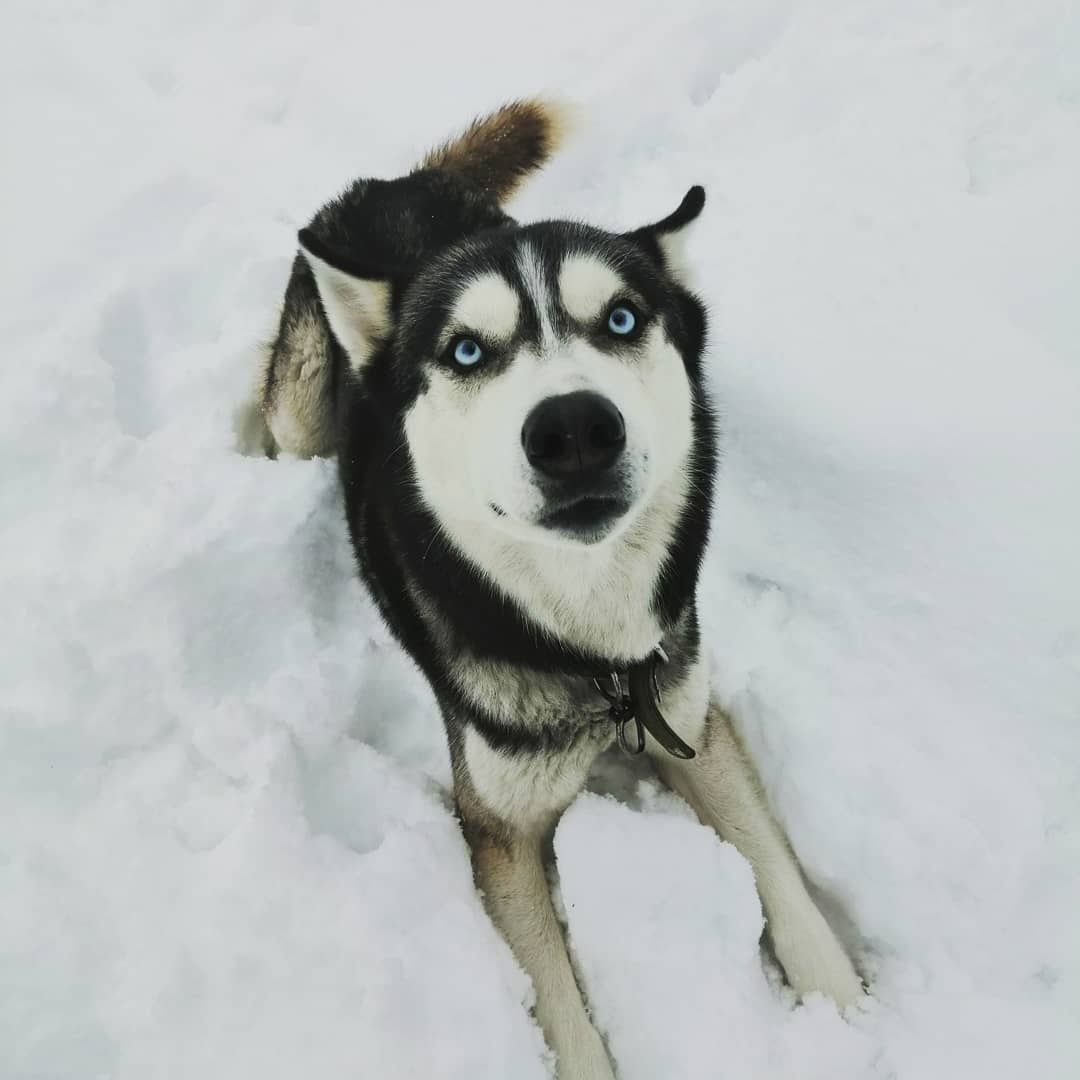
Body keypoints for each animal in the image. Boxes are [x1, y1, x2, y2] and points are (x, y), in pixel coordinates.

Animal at [240, 103, 864, 1080]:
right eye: (465, 349)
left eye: (622, 317)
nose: (574, 429)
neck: (591, 654)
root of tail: (402, 183)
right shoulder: (498, 825)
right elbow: (559, 1002)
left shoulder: (690, 718)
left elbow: (776, 867)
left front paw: (843, 998)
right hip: (303, 404)